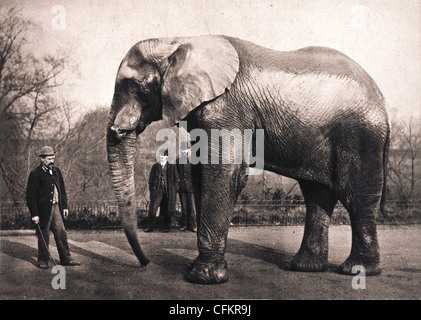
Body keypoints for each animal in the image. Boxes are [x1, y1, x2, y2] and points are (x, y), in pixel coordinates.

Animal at [106, 35, 388, 284]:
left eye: (133, 86)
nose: (145, 262)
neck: (178, 40)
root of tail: (381, 97)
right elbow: (200, 175)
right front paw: (197, 268)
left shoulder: (227, 108)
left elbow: (222, 173)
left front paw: (202, 278)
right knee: (317, 195)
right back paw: (303, 267)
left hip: (361, 135)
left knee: (356, 198)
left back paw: (356, 271)